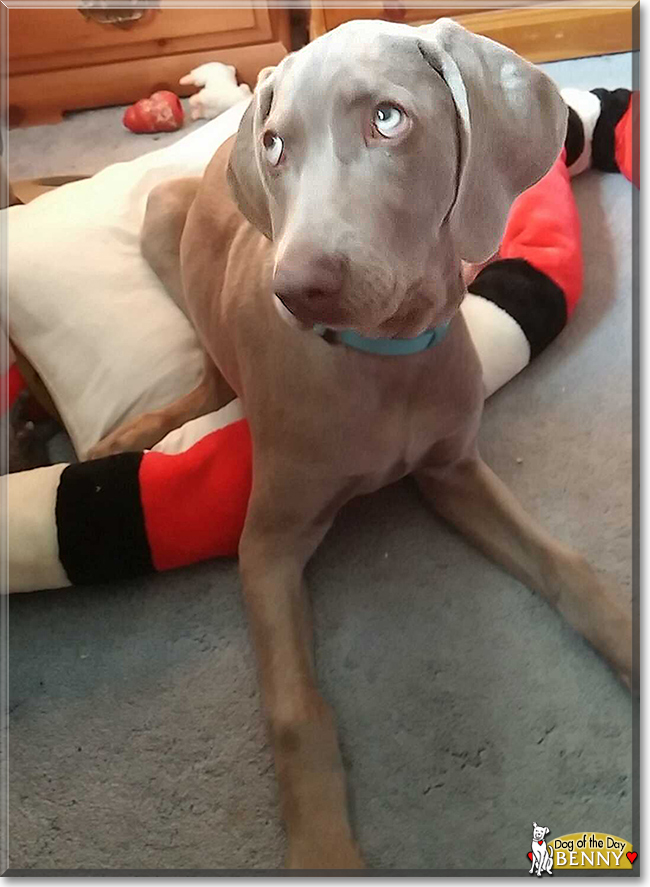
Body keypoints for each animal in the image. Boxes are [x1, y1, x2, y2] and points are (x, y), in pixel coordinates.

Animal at [88, 17, 632, 872]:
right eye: (276, 145)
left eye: (388, 118)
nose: (295, 289)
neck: (386, 360)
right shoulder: (266, 546)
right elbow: (295, 710)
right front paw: (324, 849)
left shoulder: (453, 469)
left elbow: (567, 564)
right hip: (160, 218)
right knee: (208, 369)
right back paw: (157, 427)